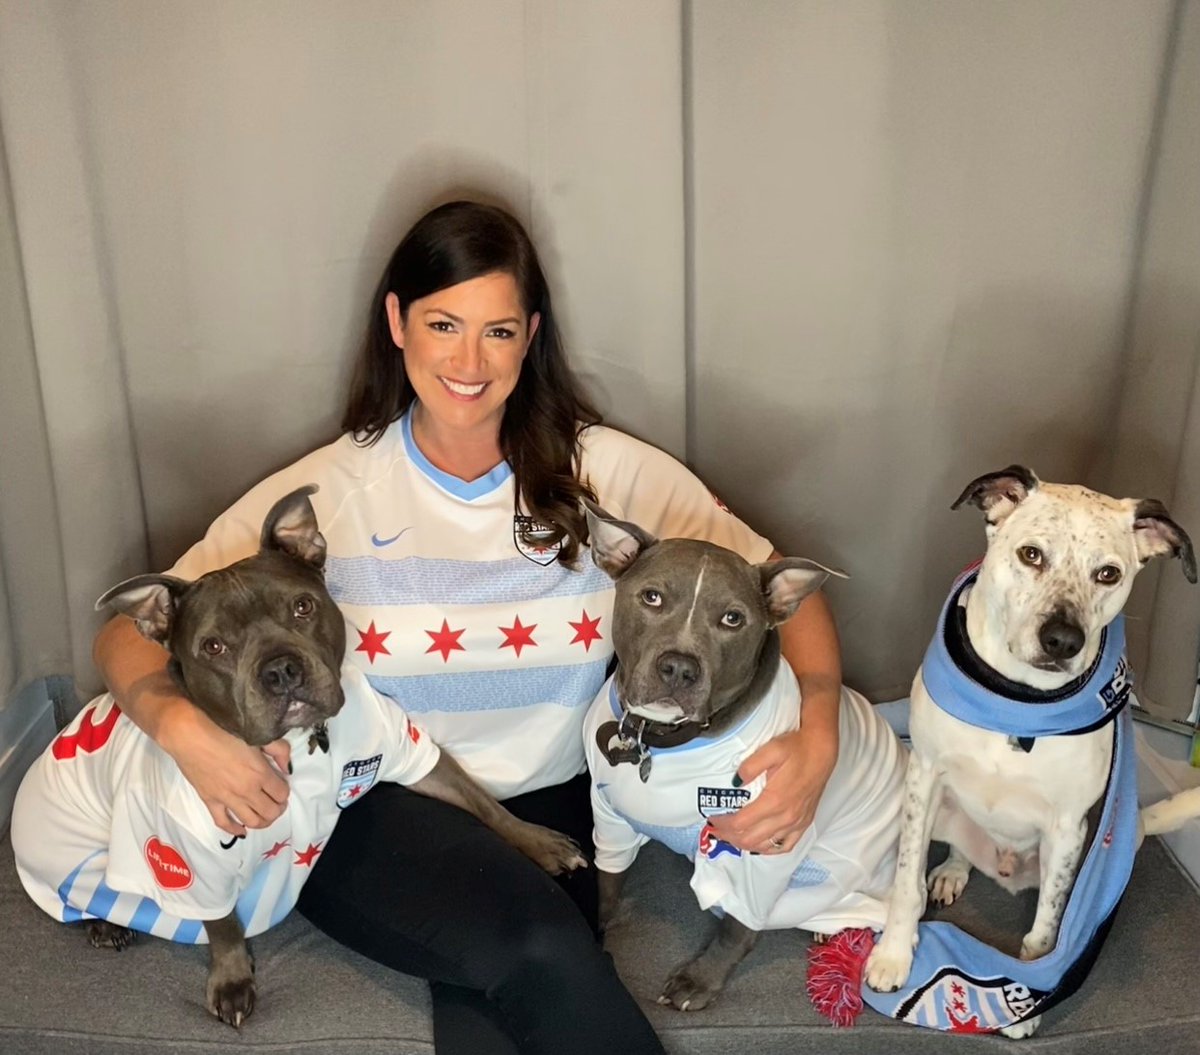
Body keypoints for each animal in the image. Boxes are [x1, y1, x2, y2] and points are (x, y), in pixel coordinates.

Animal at [11, 489, 583, 1032]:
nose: (281, 670)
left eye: (303, 607)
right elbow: (222, 923)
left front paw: (538, 841)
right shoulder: (187, 857)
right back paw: (104, 922)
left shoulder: (411, 752)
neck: (303, 742)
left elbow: (483, 802)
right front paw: (232, 979)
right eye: (213, 647)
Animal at [583, 504, 907, 1012]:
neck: (660, 739)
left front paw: (701, 980)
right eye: (652, 597)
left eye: (733, 619)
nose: (679, 668)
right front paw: (597, 920)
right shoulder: (608, 812)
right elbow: (608, 875)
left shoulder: (762, 850)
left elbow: (739, 927)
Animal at [864, 468, 1200, 1041]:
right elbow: (906, 883)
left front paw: (1027, 1004)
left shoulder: (1066, 829)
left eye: (1108, 574)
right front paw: (892, 955)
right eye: (1031, 555)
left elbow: (1046, 934)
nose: (1063, 640)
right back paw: (953, 870)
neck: (1017, 702)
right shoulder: (925, 777)